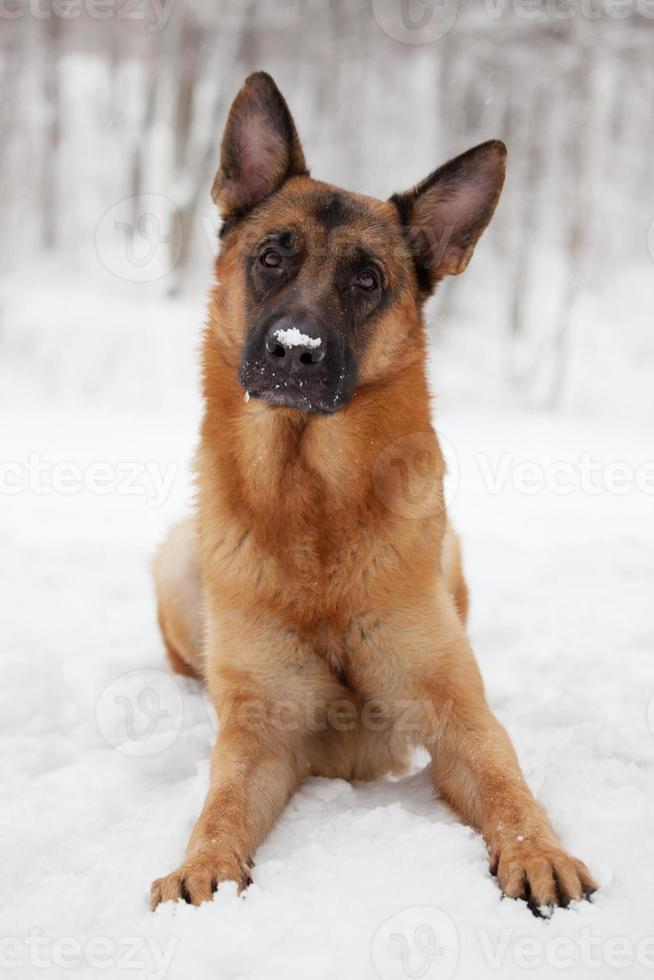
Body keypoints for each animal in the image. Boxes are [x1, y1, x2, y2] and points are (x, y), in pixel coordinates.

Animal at [150, 72, 600, 916]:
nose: (294, 351)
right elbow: (220, 802)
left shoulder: (460, 717)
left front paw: (540, 852)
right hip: (176, 559)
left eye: (366, 280)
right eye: (271, 257)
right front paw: (204, 865)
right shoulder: (259, 736)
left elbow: (508, 785)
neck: (313, 505)